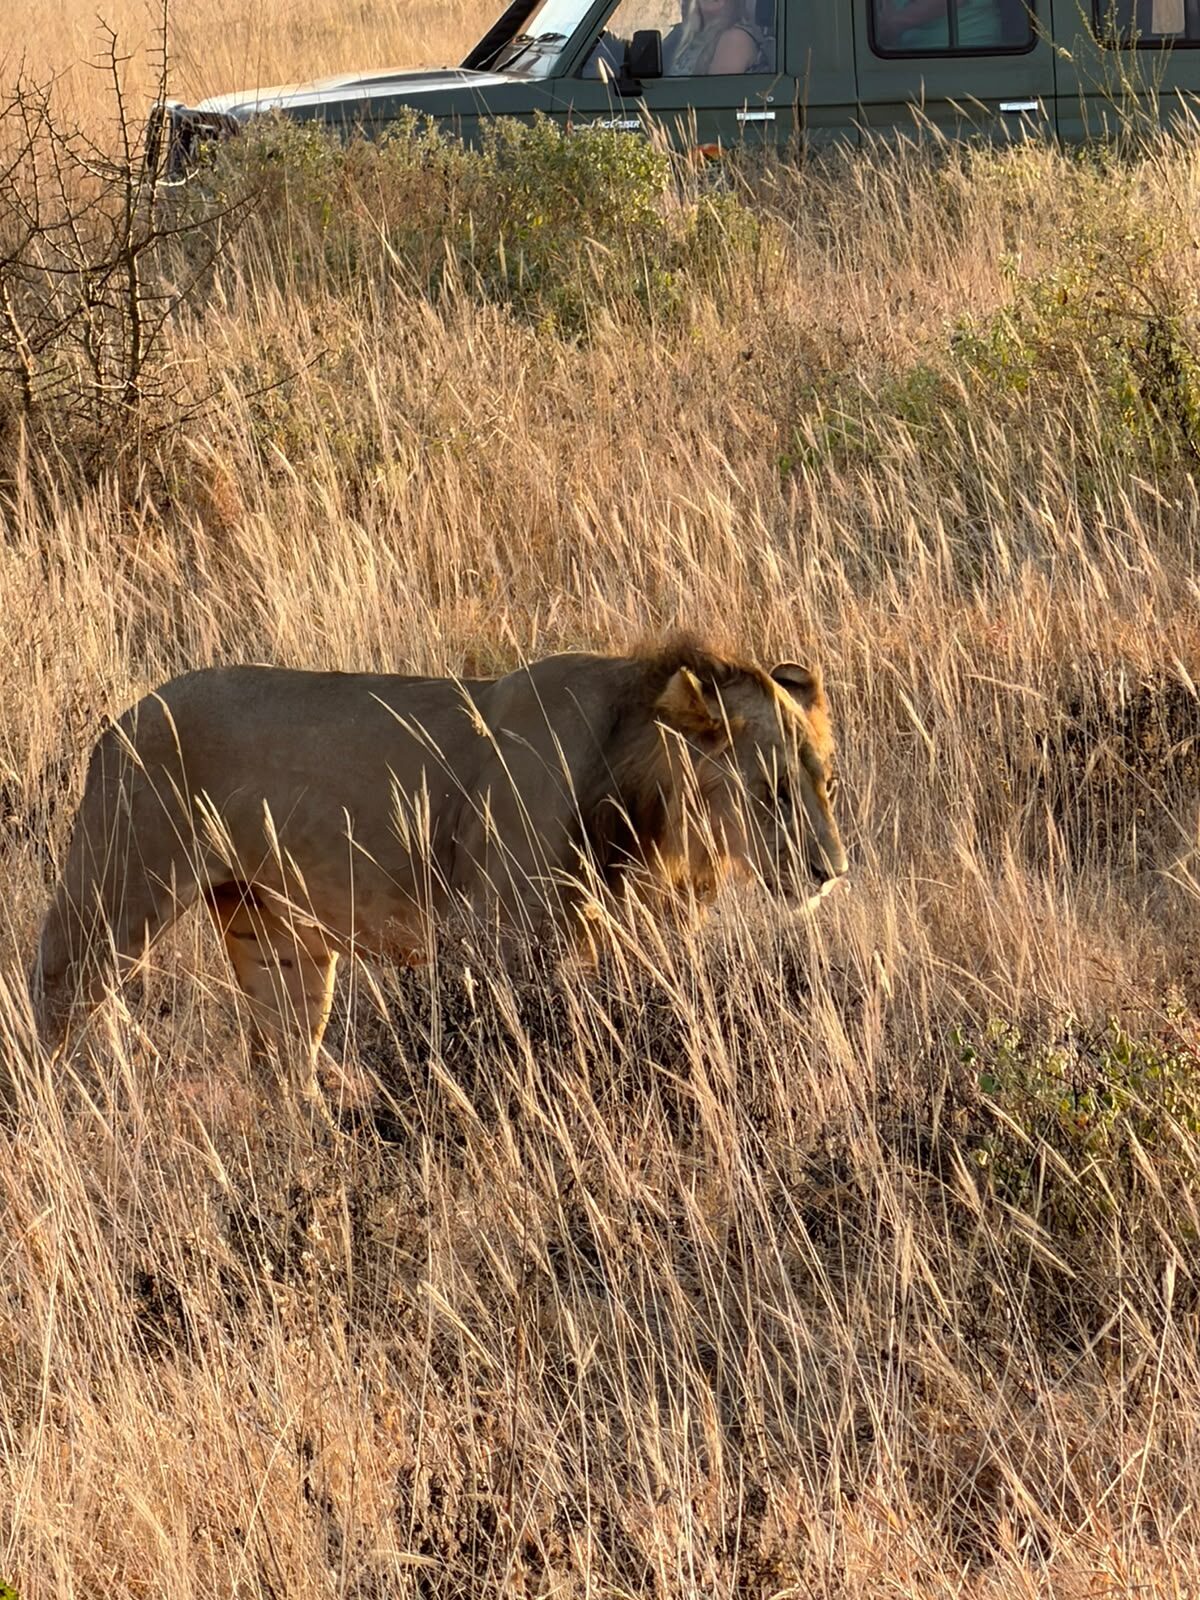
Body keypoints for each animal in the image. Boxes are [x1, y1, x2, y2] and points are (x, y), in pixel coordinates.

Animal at [30, 637, 848, 1079]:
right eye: (772, 790)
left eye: (827, 783)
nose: (832, 873)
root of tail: (120, 719)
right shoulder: (497, 944)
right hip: (114, 900)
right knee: (54, 1003)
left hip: (276, 935)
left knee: (283, 1064)